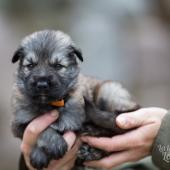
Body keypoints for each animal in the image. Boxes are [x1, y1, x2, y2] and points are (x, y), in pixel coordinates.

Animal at [10, 30, 139, 170]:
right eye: (31, 65)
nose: (42, 84)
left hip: (109, 92)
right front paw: (47, 148)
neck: (49, 104)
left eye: (58, 66)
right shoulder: (19, 123)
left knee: (115, 128)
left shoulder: (72, 123)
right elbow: (39, 127)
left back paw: (92, 146)